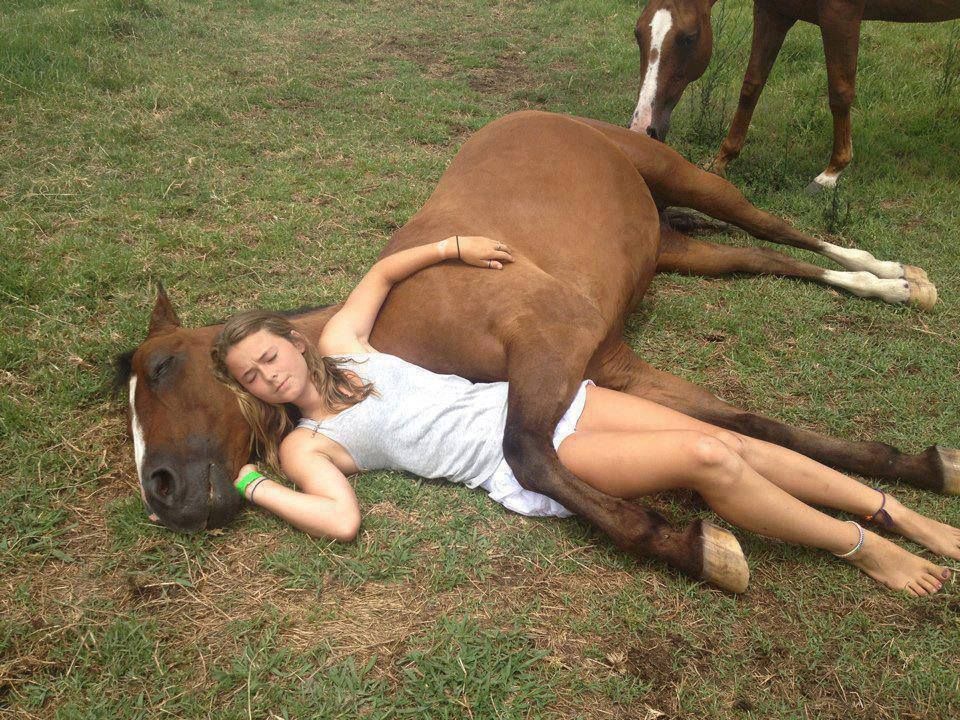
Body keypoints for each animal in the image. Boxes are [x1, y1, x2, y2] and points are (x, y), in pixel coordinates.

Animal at [630, 0, 960, 191]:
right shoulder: (774, 12)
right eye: (638, 33)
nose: (642, 128)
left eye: (689, 37)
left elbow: (840, 91)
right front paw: (722, 159)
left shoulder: (841, 14)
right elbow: (751, 86)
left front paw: (832, 171)